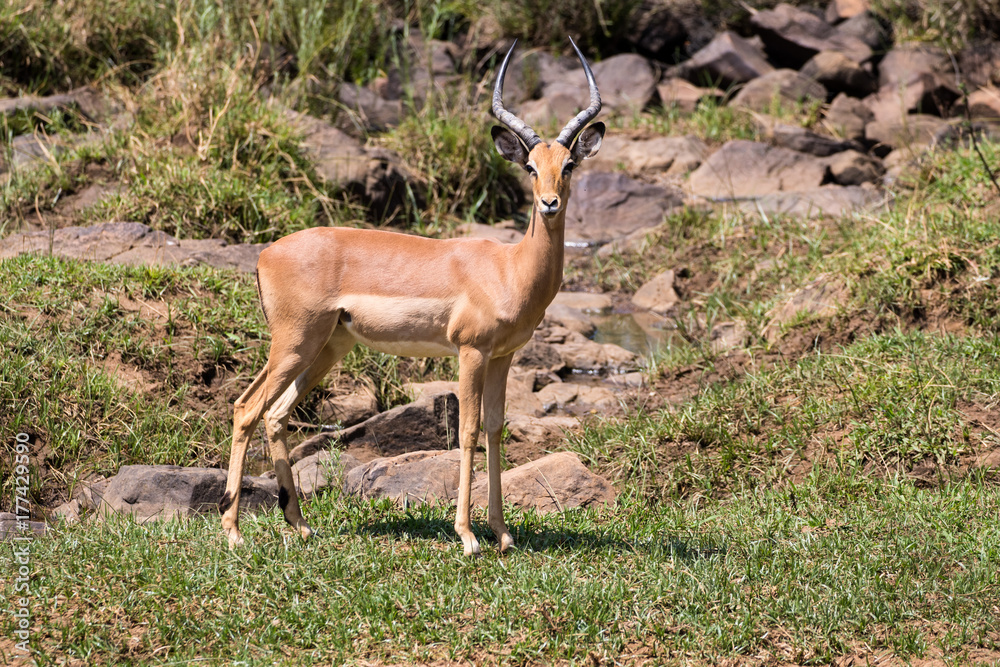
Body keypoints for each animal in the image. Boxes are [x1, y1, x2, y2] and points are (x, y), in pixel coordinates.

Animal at [220, 38, 604, 556]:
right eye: (529, 166)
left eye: (568, 165)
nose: (549, 203)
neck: (510, 268)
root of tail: (265, 254)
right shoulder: (470, 352)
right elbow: (467, 432)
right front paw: (467, 536)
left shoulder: (504, 356)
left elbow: (496, 429)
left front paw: (503, 534)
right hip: (294, 343)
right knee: (246, 409)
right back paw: (233, 531)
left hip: (326, 346)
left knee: (276, 413)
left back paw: (300, 526)